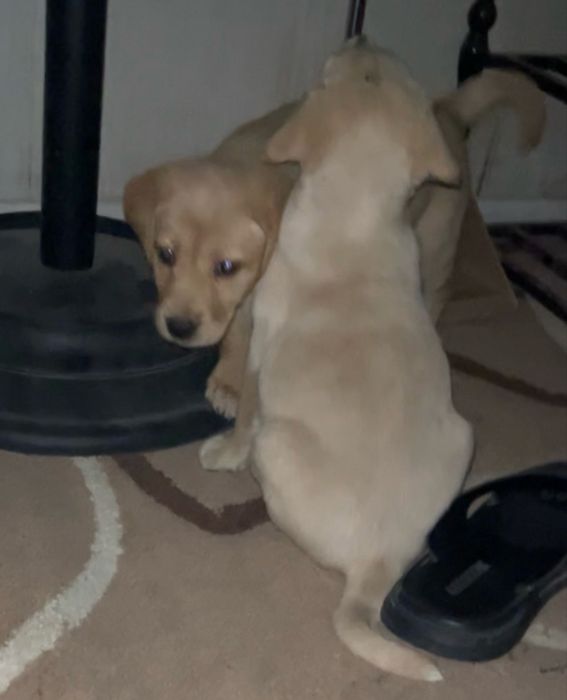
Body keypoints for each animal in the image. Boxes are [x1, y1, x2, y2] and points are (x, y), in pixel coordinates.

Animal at [199, 53, 474, 681]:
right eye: (382, 65)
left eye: (347, 69)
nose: (361, 36)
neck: (360, 216)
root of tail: (379, 563)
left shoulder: (261, 337)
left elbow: (245, 405)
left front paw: (224, 450)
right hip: (465, 433)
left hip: (278, 442)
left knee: (264, 446)